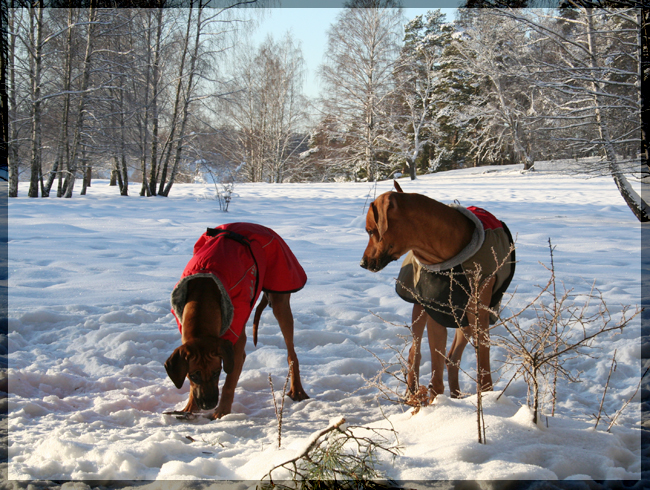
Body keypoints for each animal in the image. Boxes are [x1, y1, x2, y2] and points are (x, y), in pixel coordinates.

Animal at [166, 224, 310, 420]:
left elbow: (229, 383)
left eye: (217, 372)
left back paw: (297, 390)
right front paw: (189, 407)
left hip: (281, 295)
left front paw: (221, 413)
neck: (203, 295)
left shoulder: (235, 345)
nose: (208, 404)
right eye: (193, 376)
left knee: (291, 353)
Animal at [356, 183, 512, 402]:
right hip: (419, 308)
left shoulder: (478, 314)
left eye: (370, 231)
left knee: (452, 358)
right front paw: (436, 402)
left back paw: (456, 396)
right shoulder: (435, 312)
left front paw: (487, 399)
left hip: (465, 321)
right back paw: (413, 392)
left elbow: (483, 361)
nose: (363, 263)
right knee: (414, 351)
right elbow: (435, 370)